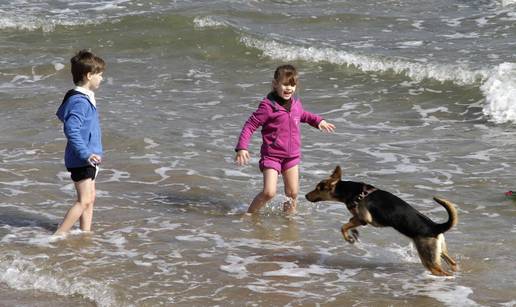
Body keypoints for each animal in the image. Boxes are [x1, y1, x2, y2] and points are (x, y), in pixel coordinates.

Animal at [304, 166, 458, 276]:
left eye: (317, 189)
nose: (305, 196)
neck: (350, 191)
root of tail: (435, 227)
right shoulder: (359, 218)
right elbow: (350, 221)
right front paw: (354, 233)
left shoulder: (364, 218)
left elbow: (343, 226)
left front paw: (349, 238)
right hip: (439, 250)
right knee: (453, 263)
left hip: (428, 256)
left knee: (441, 272)